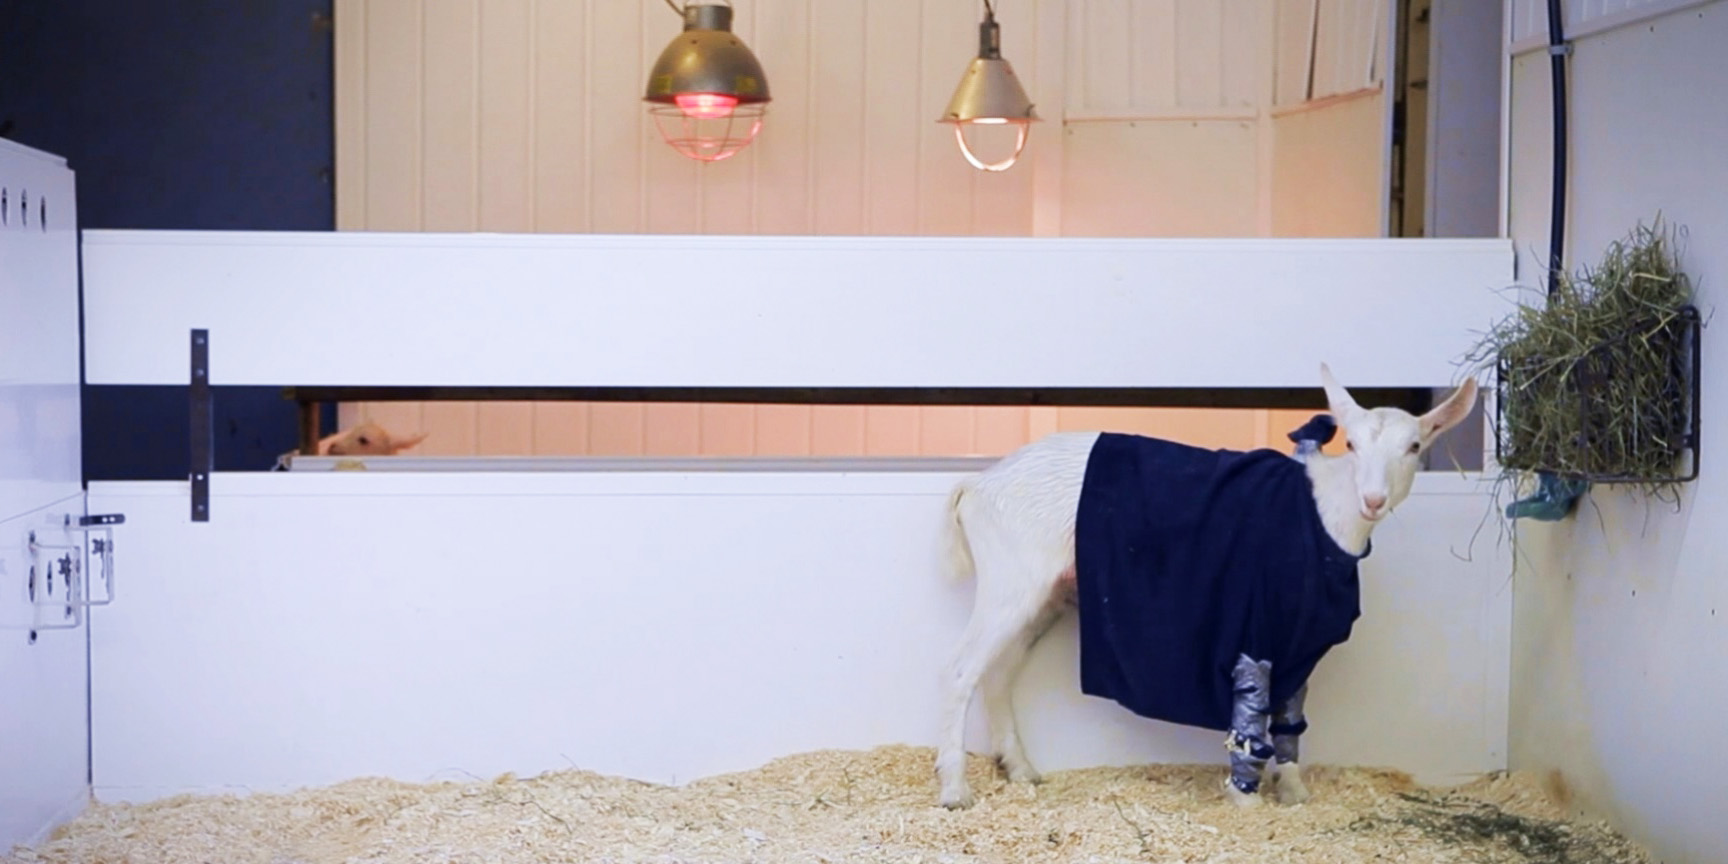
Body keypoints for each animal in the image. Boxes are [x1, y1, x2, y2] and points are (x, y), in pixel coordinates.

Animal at [933, 363, 1479, 810]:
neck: (1324, 514)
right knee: (960, 670)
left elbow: (1291, 715)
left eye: (1414, 447)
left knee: (998, 673)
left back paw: (1021, 770)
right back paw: (955, 790)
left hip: (1043, 596)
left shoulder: (1300, 639)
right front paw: (1246, 800)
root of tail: (976, 486)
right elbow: (1251, 719)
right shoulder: (1255, 630)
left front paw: (1294, 791)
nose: (1373, 499)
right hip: (1011, 579)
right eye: (1351, 444)